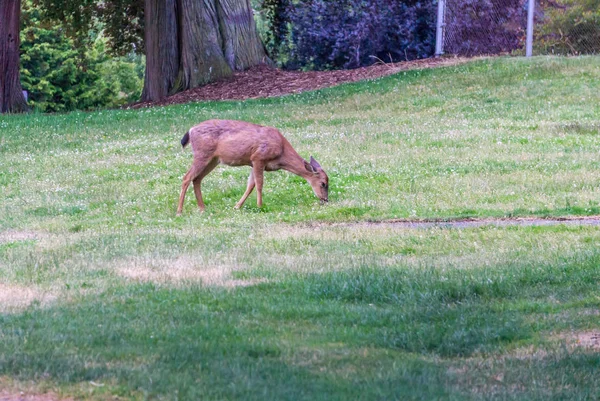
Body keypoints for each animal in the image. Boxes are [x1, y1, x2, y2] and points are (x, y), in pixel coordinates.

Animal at [176, 119, 330, 216]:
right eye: (323, 183)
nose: (325, 200)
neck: (281, 152)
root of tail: (190, 130)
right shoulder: (258, 157)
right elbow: (259, 184)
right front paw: (260, 206)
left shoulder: (252, 162)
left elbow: (251, 185)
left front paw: (237, 206)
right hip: (202, 154)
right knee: (186, 177)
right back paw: (179, 211)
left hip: (213, 159)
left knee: (197, 179)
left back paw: (202, 208)